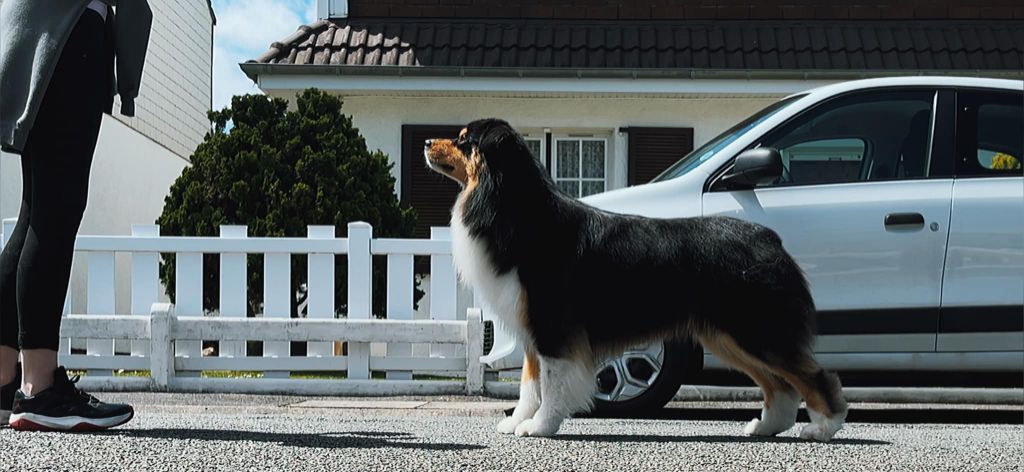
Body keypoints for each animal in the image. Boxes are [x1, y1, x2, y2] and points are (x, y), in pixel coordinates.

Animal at [423, 118, 847, 442]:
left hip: (757, 329)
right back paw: (766, 426)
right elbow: (531, 383)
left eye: (463, 139)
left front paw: (540, 427)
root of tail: (769, 238)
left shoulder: (554, 327)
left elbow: (553, 384)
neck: (510, 204)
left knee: (813, 375)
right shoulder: (533, 331)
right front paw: (518, 421)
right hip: (729, 337)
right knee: (781, 385)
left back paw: (823, 428)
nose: (426, 141)